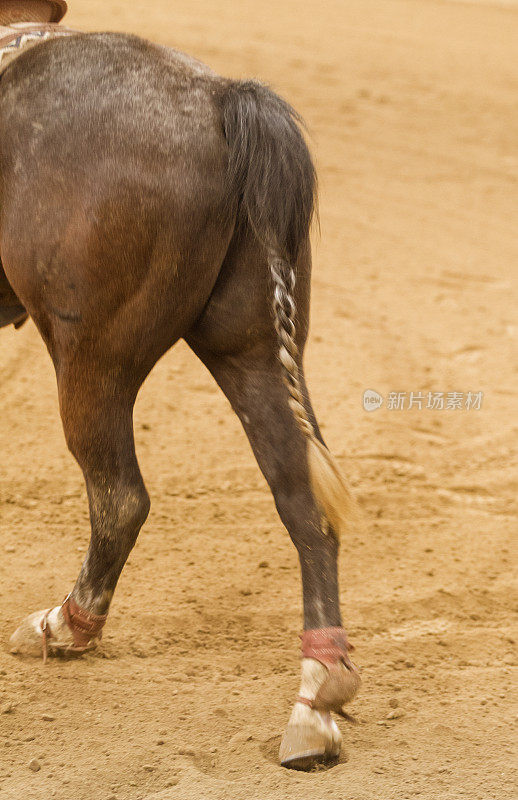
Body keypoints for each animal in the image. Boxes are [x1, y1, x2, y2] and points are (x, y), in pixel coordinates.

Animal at [2, 29, 362, 768]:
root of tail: (222, 99)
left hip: (93, 359)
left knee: (120, 498)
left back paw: (67, 624)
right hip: (253, 349)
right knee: (305, 498)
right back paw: (317, 694)